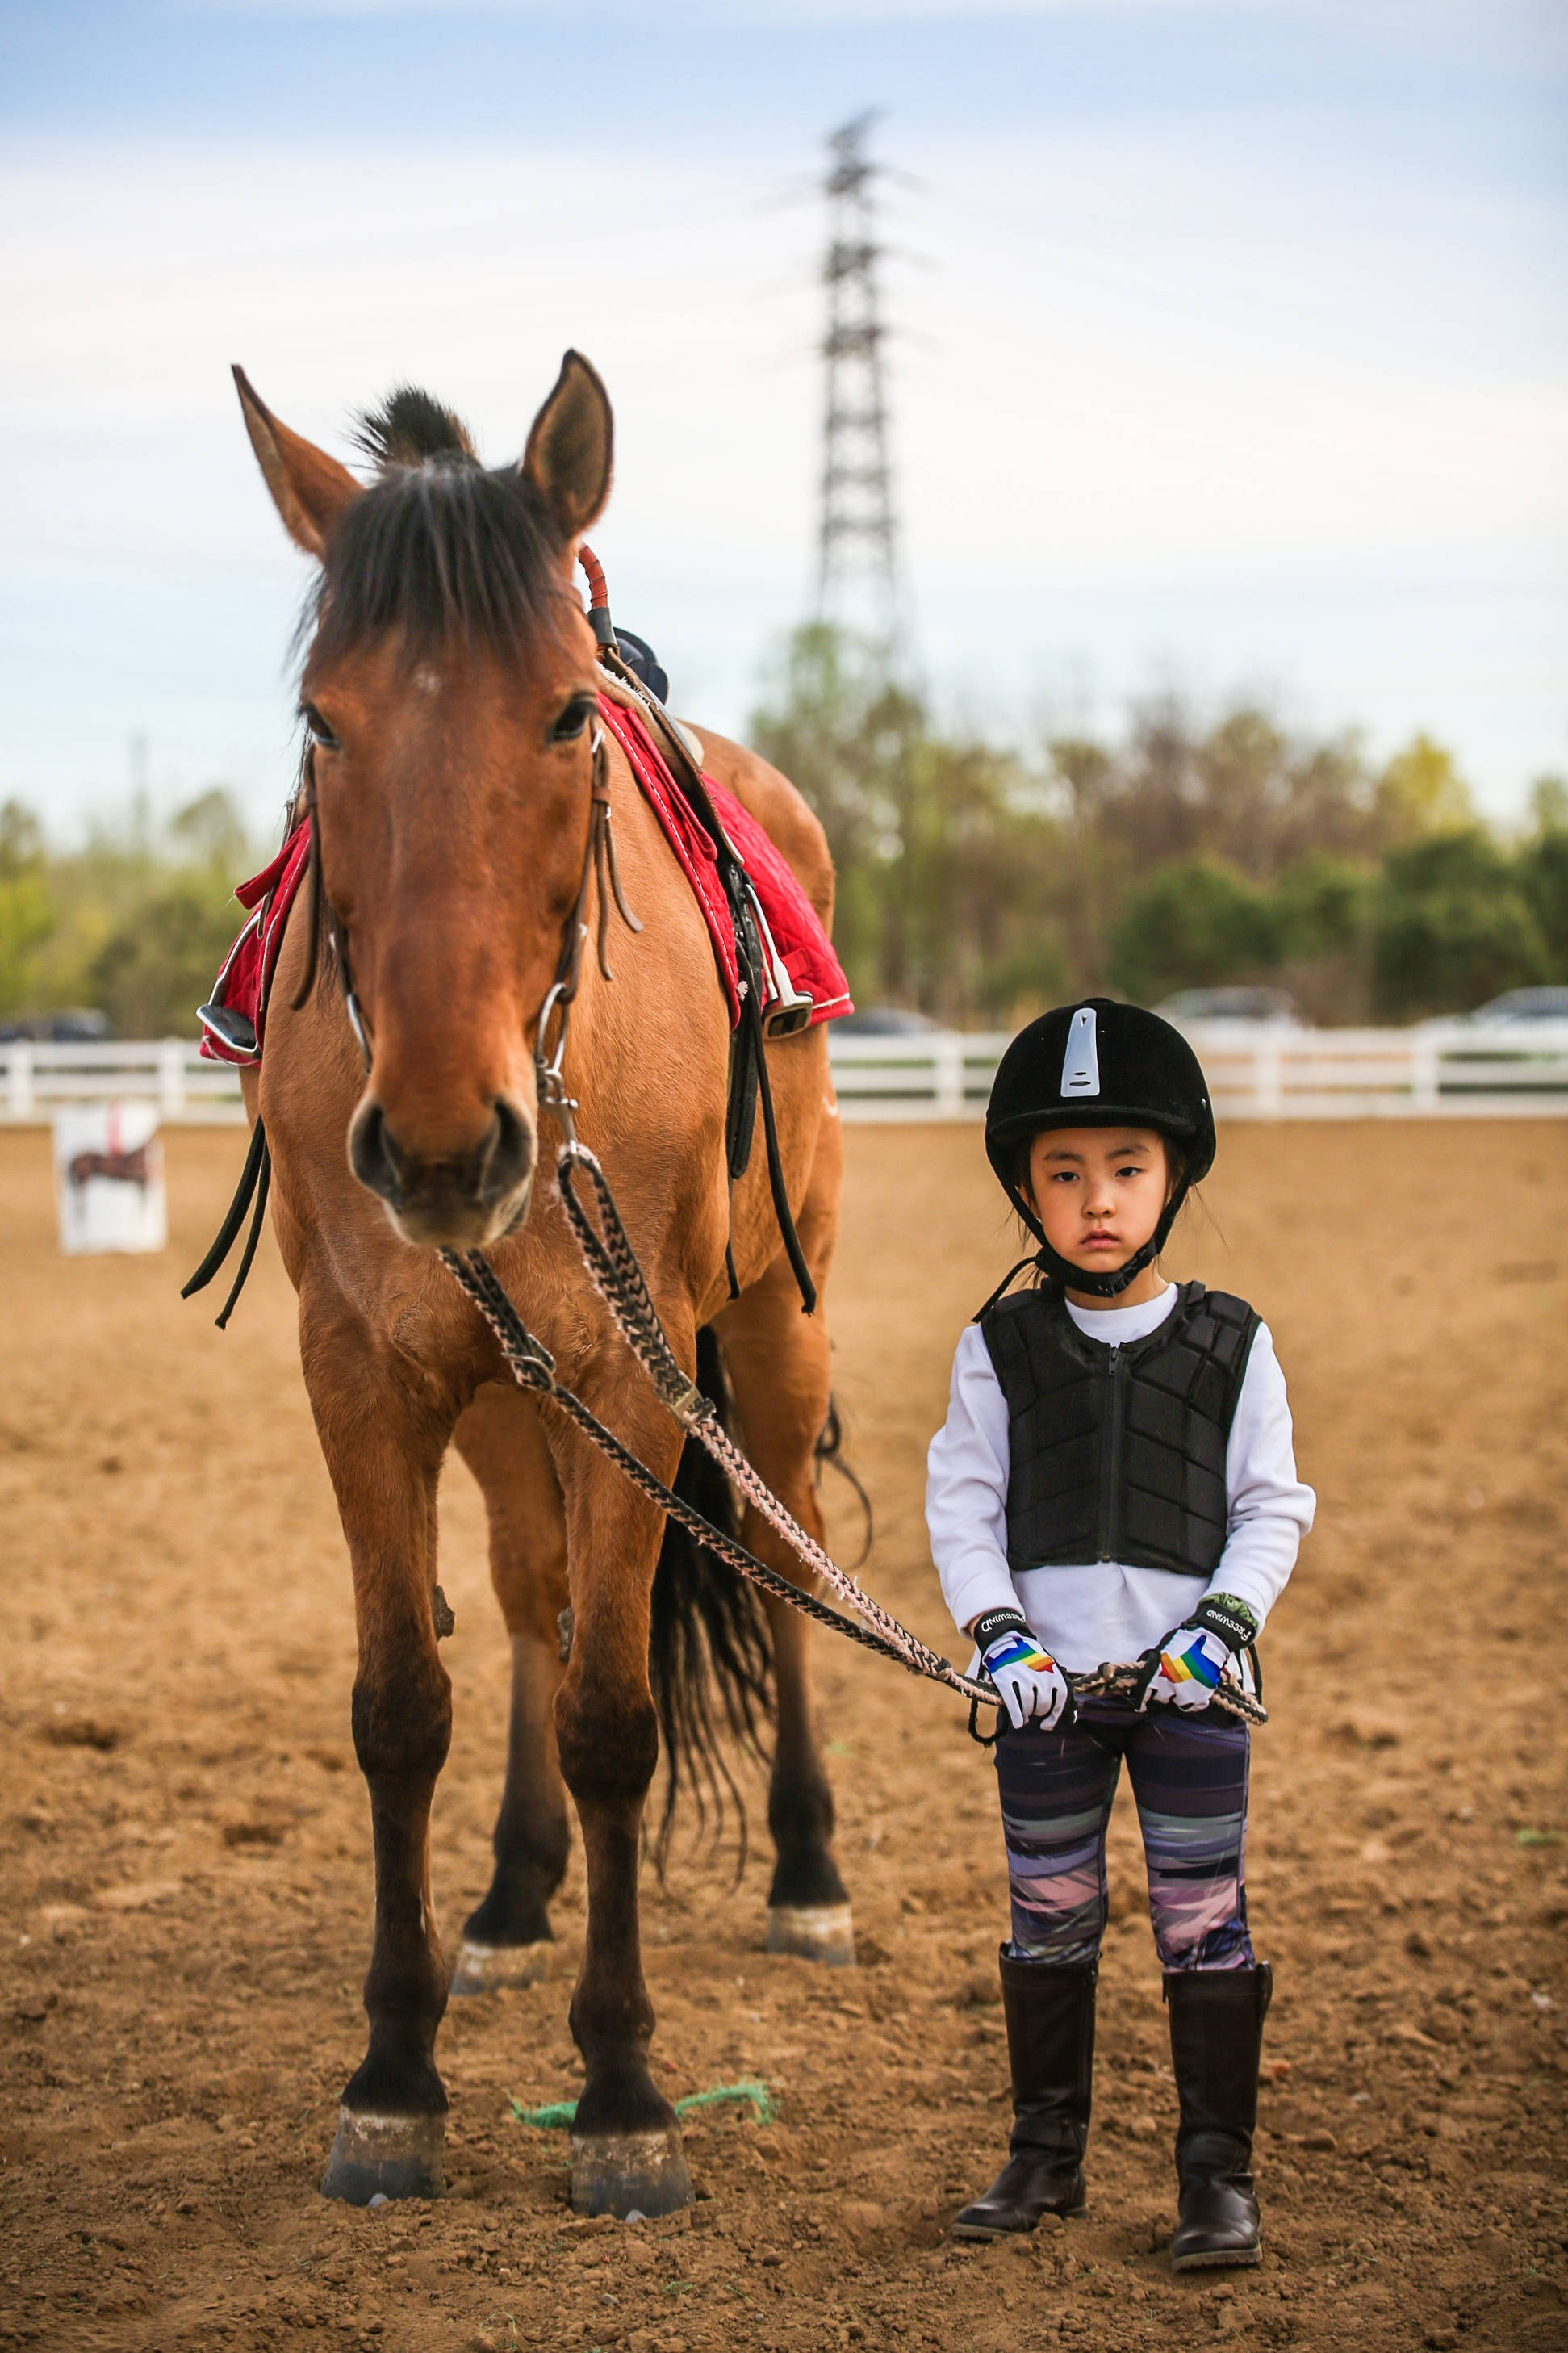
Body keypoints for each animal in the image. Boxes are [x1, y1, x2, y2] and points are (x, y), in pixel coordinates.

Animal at [236, 358, 860, 2212]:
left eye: (567, 716)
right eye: (323, 721)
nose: (447, 1139)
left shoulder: (633, 1376)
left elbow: (611, 1714)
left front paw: (627, 2095)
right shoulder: (362, 1368)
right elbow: (400, 1704)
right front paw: (392, 2074)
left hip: (768, 1333)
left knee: (779, 1545)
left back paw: (805, 1874)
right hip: (509, 1391)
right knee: (522, 1592)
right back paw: (512, 1897)